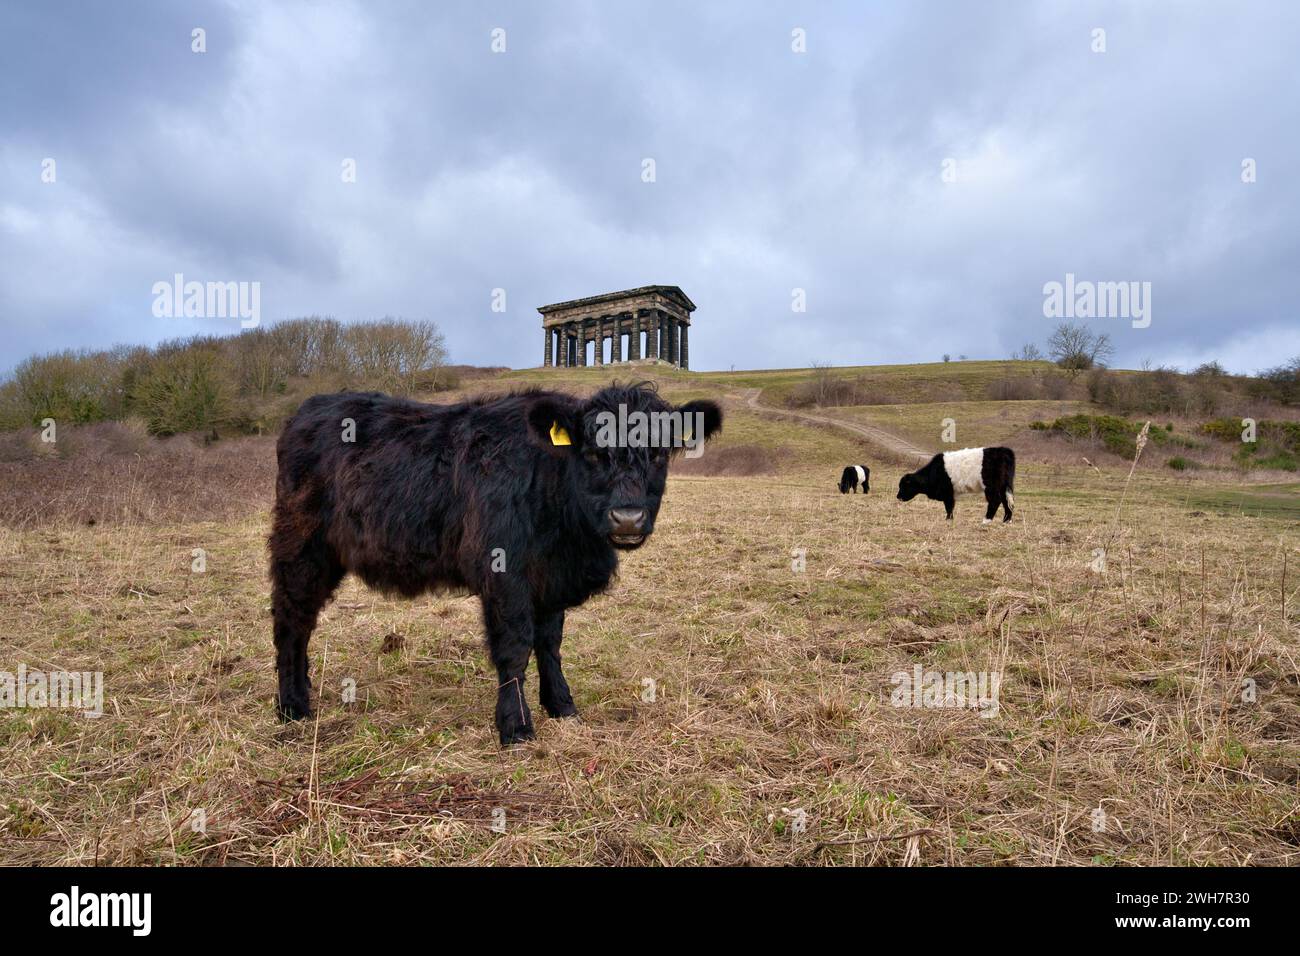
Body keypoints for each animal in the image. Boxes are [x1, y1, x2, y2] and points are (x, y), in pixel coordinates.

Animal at [269, 385, 728, 743]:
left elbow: (550, 643)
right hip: (301, 547)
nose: (627, 518)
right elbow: (514, 648)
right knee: (292, 621)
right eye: (594, 454)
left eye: (659, 454)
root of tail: (310, 407)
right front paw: (516, 726)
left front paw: (562, 705)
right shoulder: (504, 574)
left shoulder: (550, 579)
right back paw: (293, 706)